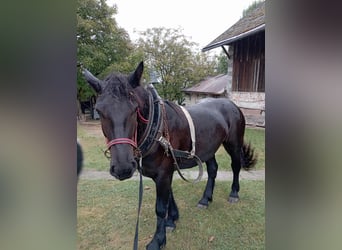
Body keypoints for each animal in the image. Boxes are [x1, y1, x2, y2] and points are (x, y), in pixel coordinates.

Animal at [81, 61, 255, 249]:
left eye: (134, 109)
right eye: (99, 111)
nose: (122, 168)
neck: (156, 127)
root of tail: (232, 105)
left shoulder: (164, 172)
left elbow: (160, 207)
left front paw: (158, 239)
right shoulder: (167, 169)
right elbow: (169, 196)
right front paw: (172, 220)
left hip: (234, 144)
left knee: (235, 166)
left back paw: (234, 194)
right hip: (209, 148)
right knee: (213, 169)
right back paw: (205, 199)